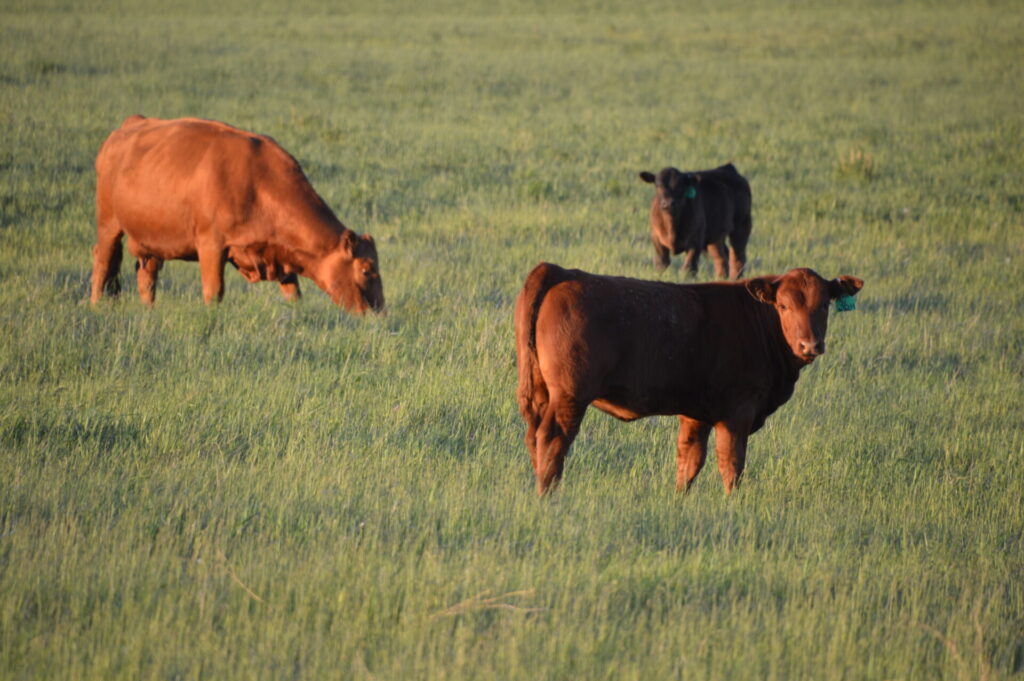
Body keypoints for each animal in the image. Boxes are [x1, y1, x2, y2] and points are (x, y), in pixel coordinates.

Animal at [92, 113, 385, 311]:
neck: (259, 183)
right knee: (103, 259)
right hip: (108, 223)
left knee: (146, 276)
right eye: (367, 270)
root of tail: (131, 124)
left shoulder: (281, 253)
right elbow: (214, 291)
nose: (379, 313)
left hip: (150, 241)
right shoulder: (211, 245)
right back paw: (94, 305)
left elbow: (293, 293)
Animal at [516, 261, 860, 493]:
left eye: (824, 305)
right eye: (784, 305)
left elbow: (689, 460)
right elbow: (731, 463)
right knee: (553, 438)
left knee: (534, 436)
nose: (810, 345)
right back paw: (548, 493)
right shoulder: (738, 411)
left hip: (539, 392)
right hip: (570, 395)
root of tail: (562, 272)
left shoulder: (696, 413)